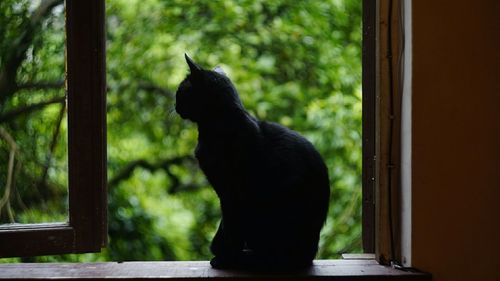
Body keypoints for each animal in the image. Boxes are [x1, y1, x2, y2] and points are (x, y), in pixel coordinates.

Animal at [176, 53, 332, 270]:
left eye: (182, 90)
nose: (174, 105)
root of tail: (309, 255)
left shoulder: (232, 193)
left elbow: (230, 225)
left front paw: (225, 256)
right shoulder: (225, 193)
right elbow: (226, 224)